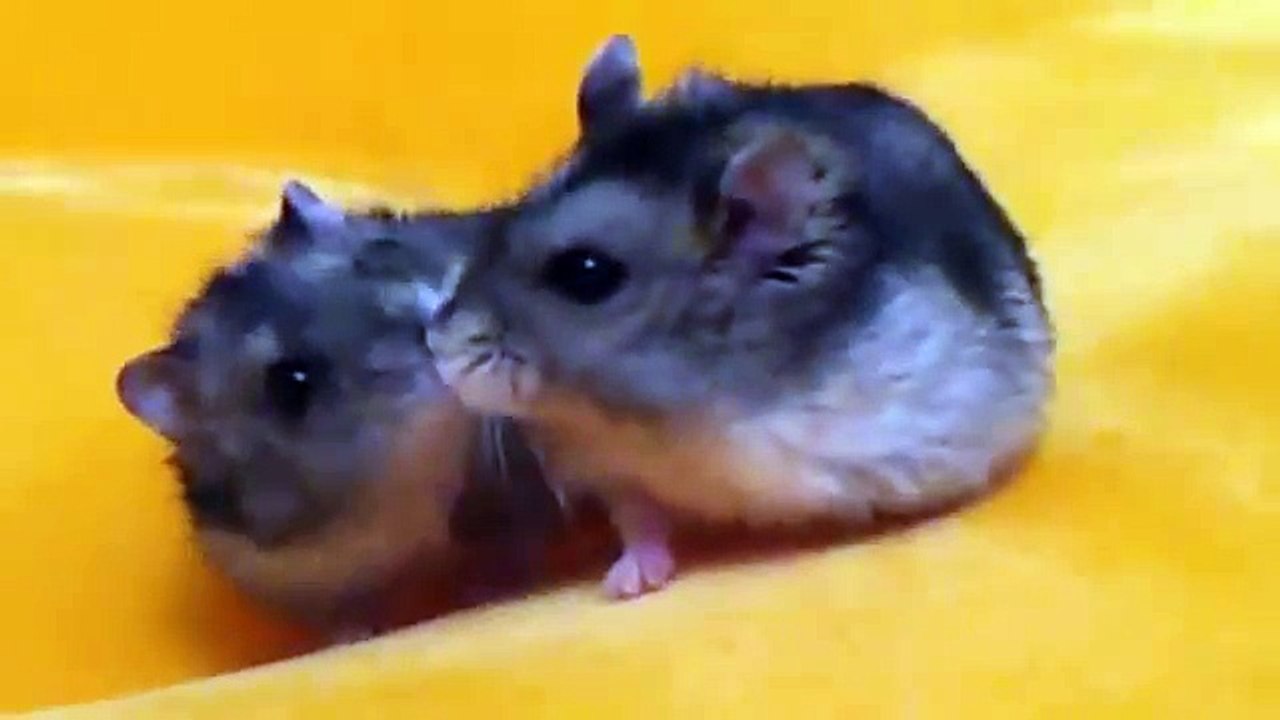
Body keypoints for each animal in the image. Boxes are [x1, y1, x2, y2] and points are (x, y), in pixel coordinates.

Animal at [116, 182, 559, 639]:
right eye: (292, 384)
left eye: (382, 253)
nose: (433, 336)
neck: (405, 483)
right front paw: (356, 634)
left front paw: (488, 591)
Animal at [428, 36, 1054, 598]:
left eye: (586, 273)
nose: (438, 344)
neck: (669, 415)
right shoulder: (606, 465)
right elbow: (638, 516)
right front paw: (626, 584)